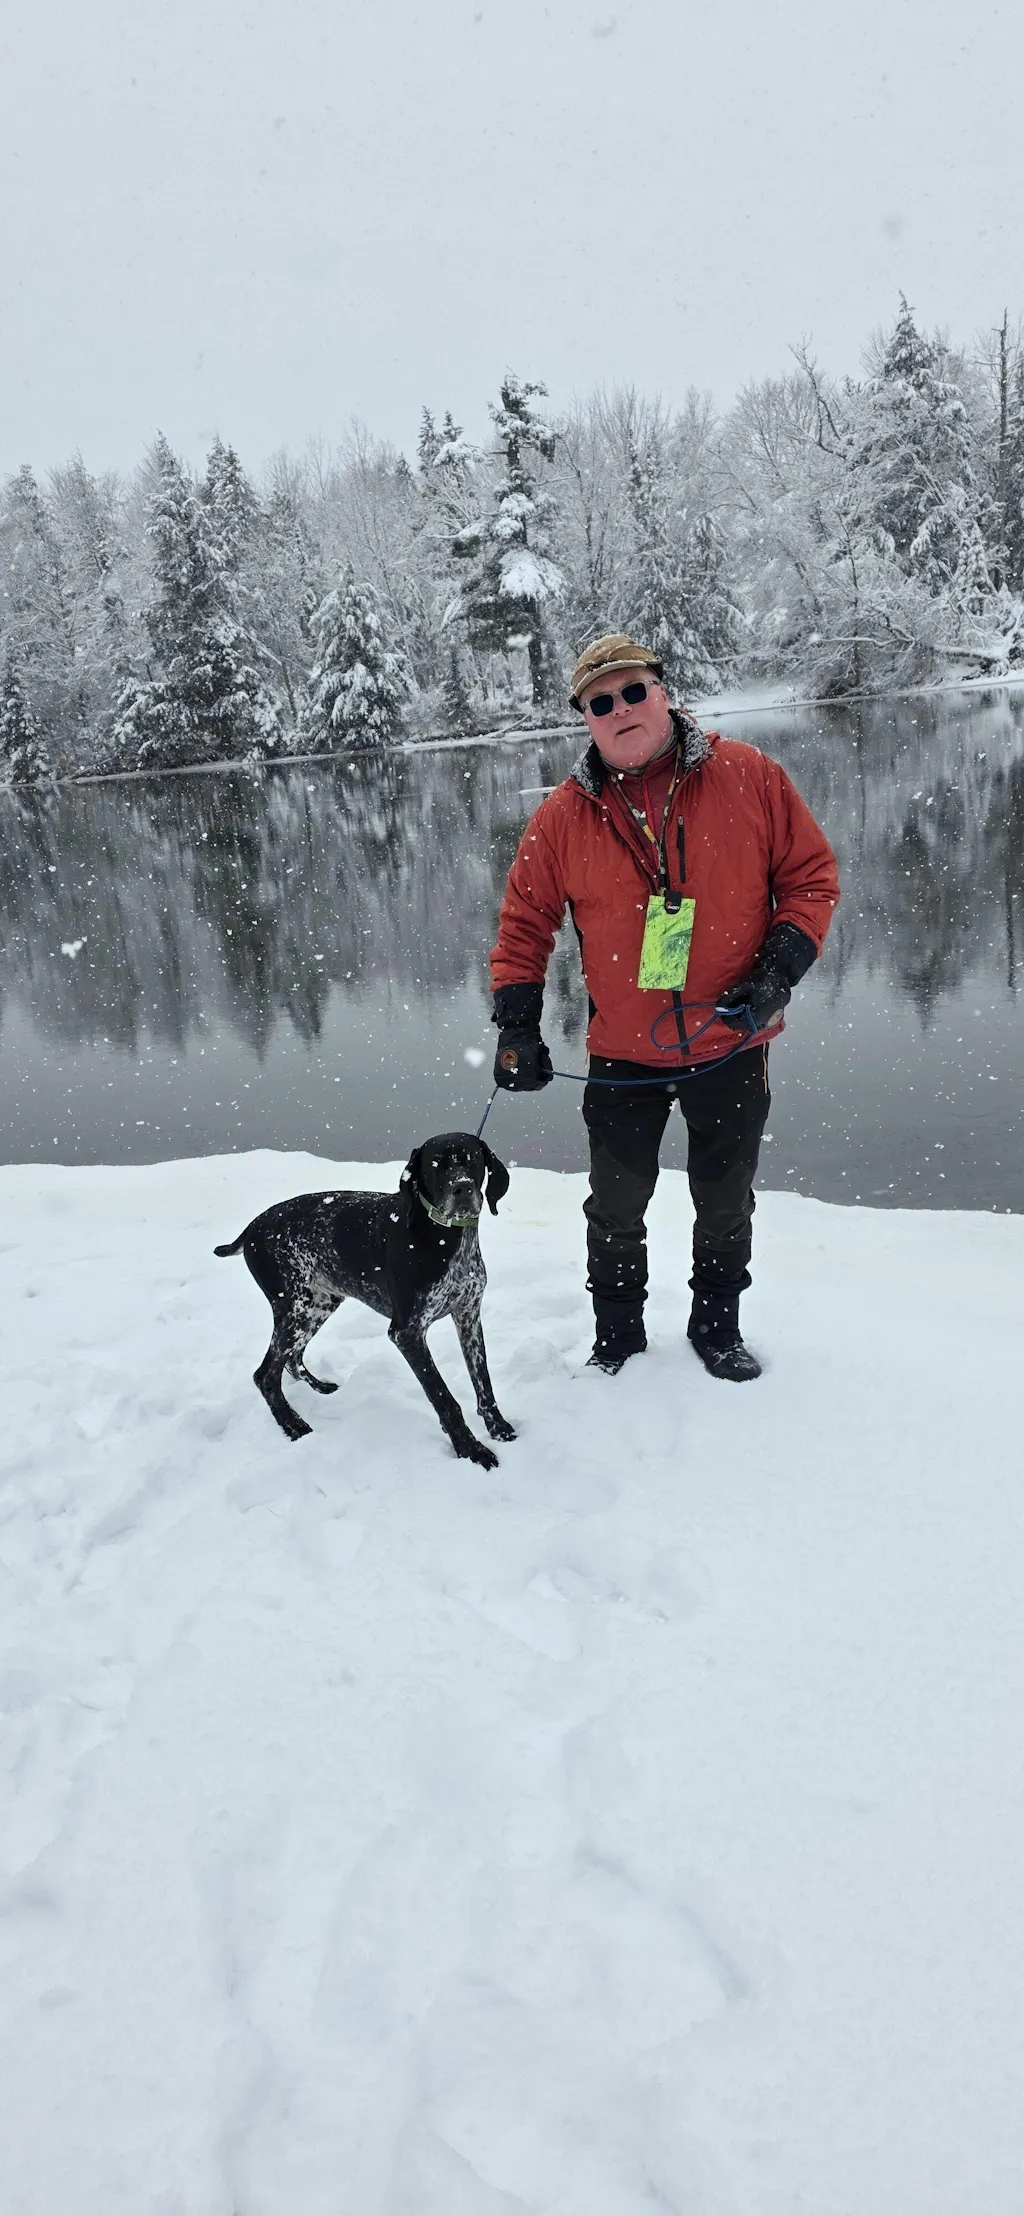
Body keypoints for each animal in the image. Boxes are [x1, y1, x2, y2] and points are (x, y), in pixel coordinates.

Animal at [215, 1133, 515, 1469]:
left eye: (472, 1159)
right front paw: (470, 1449)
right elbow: (444, 1398)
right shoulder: (407, 1333)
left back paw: (319, 1387)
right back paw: (293, 1425)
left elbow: (483, 1381)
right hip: (295, 1308)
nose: (461, 1188)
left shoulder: (468, 1315)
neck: (443, 1236)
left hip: (319, 1304)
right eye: (435, 1166)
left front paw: (497, 1427)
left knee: (292, 1359)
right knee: (265, 1375)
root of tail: (252, 1228)